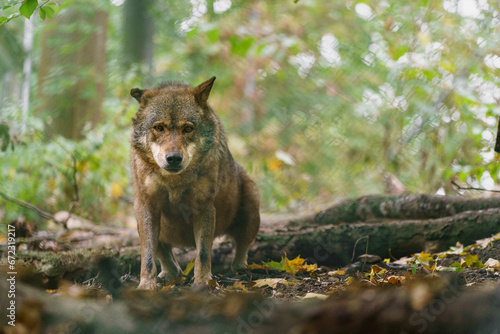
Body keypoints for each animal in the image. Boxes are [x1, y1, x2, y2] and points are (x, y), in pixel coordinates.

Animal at [129, 77, 262, 288]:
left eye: (188, 128)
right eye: (158, 128)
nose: (173, 158)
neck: (175, 181)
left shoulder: (204, 208)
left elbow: (203, 254)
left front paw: (203, 283)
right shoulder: (147, 207)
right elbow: (148, 257)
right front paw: (146, 286)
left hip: (251, 208)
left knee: (242, 248)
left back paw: (241, 270)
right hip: (139, 214)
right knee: (167, 258)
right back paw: (169, 275)